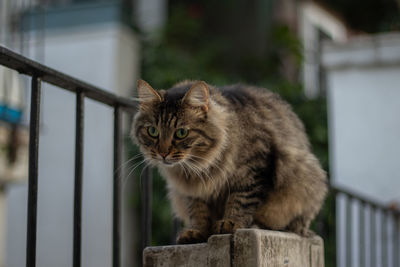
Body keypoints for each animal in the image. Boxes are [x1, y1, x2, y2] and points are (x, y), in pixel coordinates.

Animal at [133, 79, 326, 245]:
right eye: (152, 131)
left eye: (181, 133)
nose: (163, 153)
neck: (198, 165)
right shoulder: (191, 190)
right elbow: (198, 211)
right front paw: (197, 231)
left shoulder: (254, 168)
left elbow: (240, 200)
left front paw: (231, 223)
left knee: (290, 225)